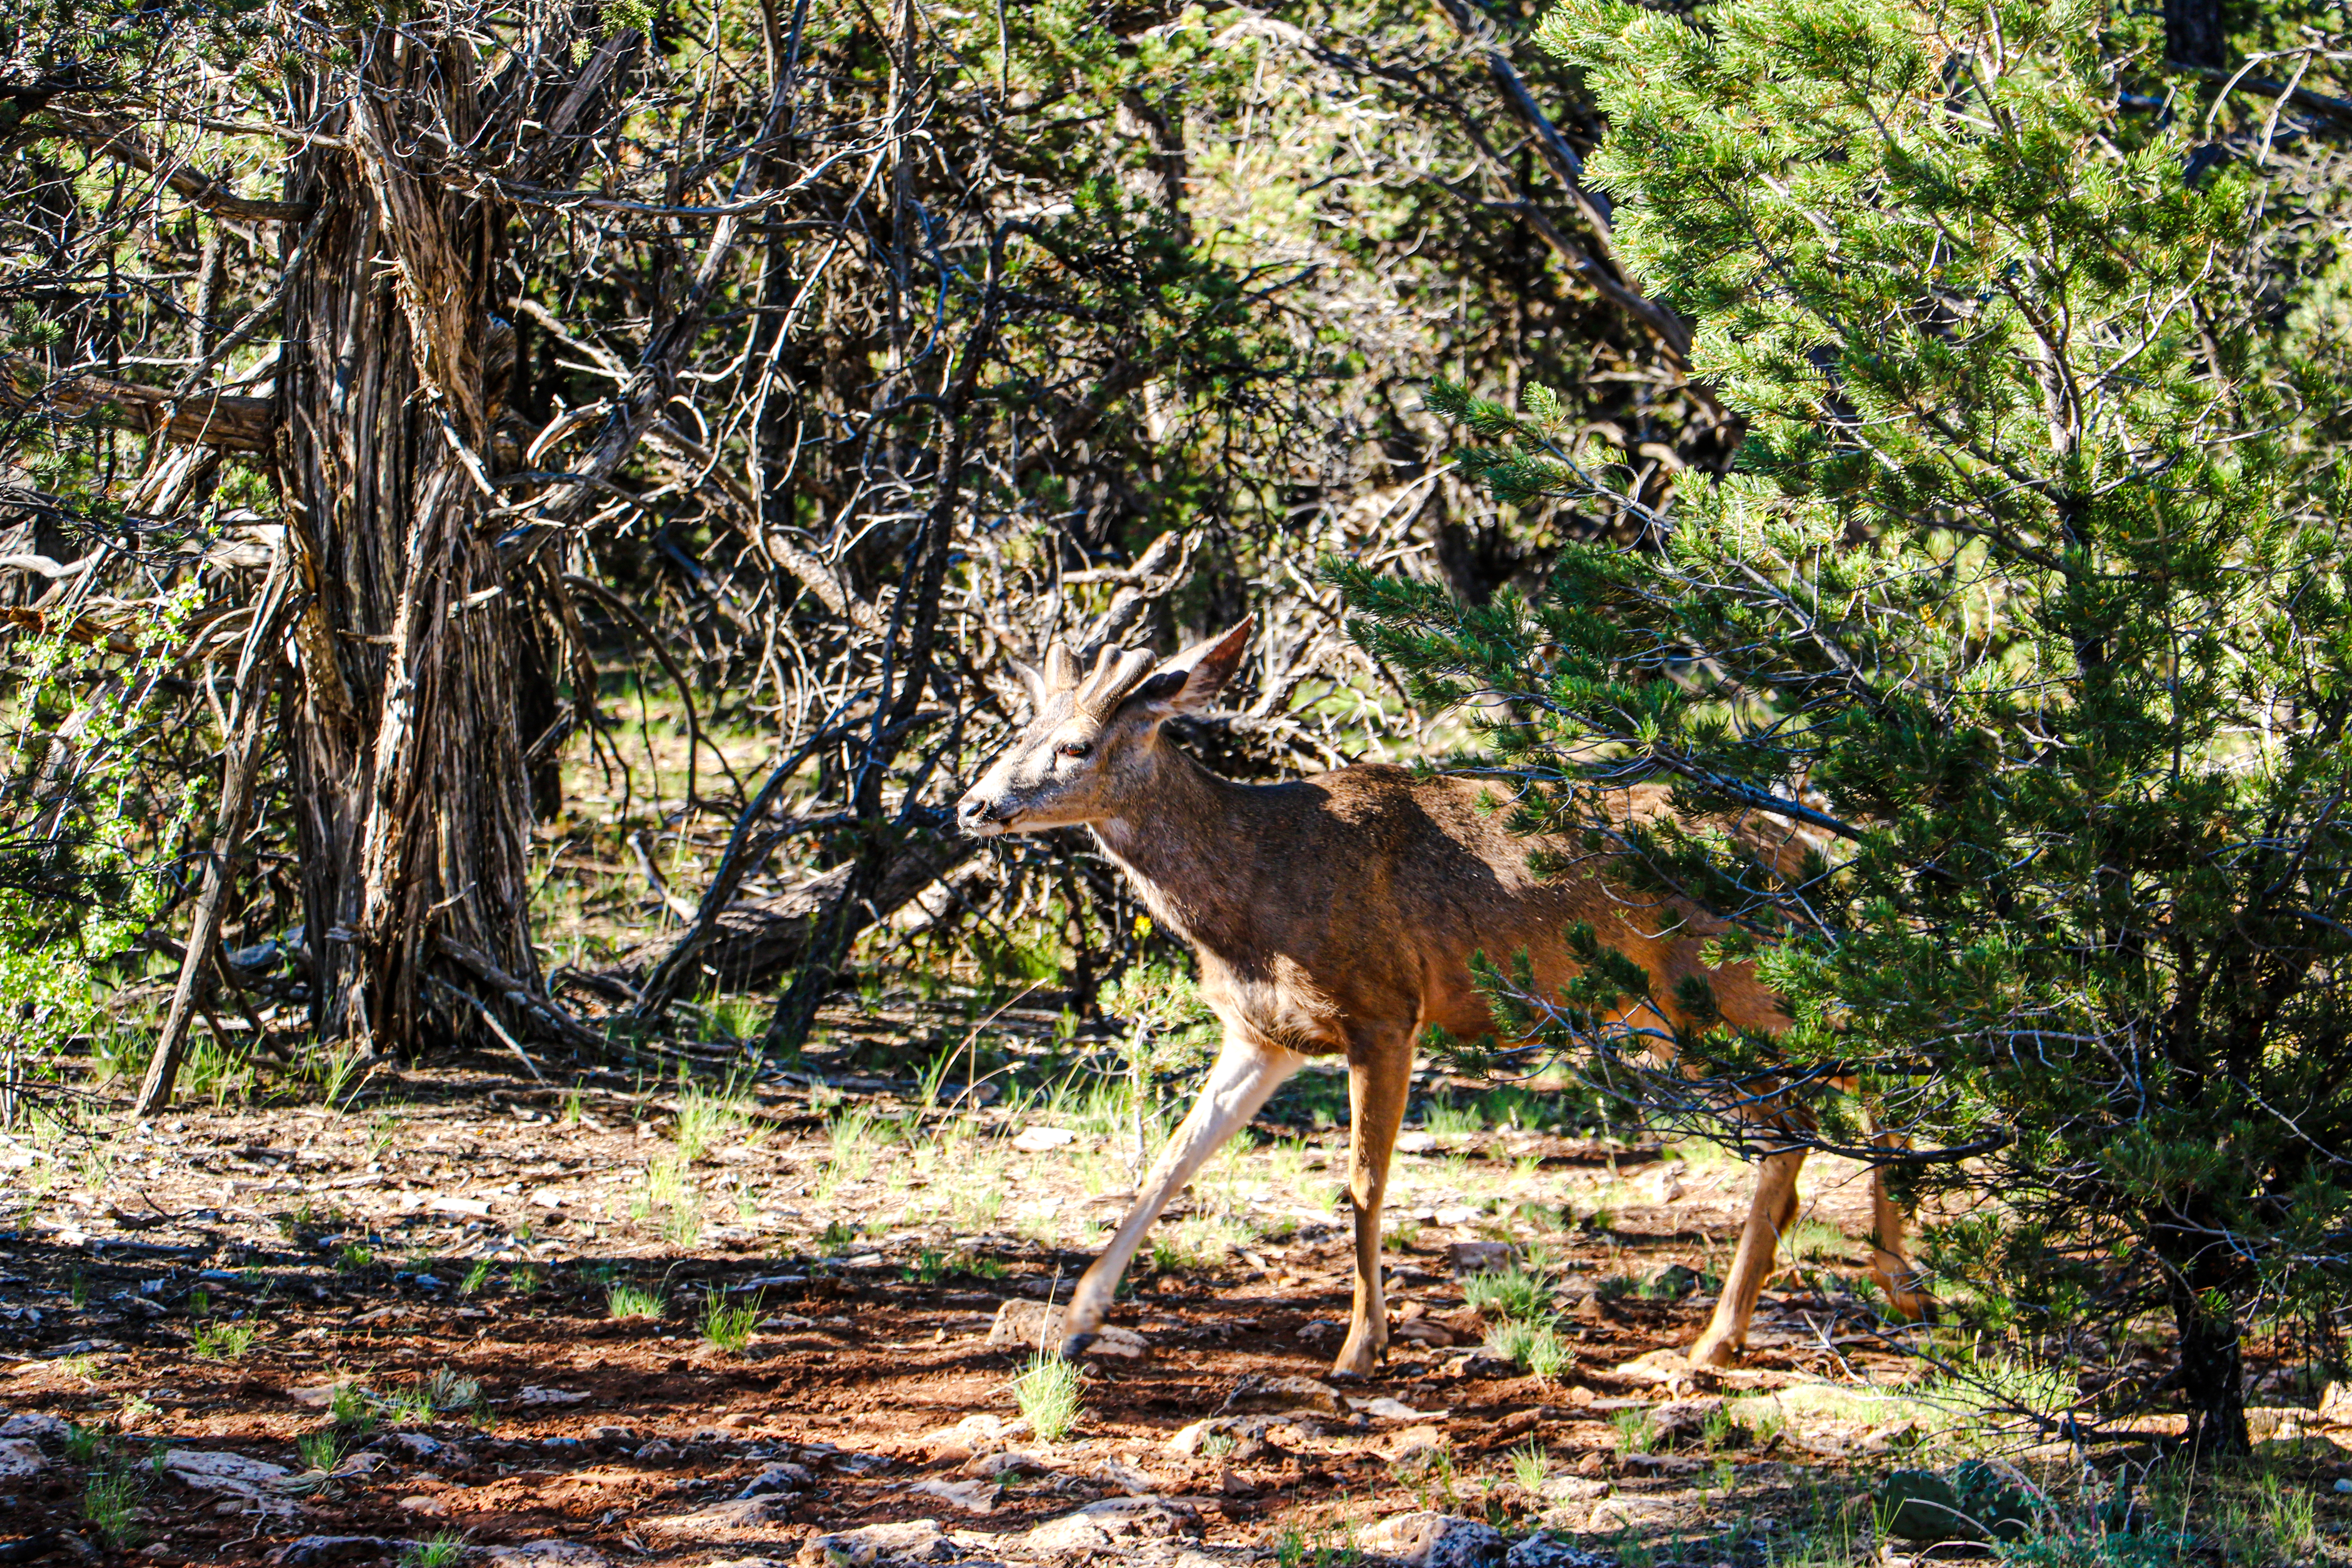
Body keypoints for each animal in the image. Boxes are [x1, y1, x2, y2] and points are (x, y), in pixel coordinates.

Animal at [954, 618, 1923, 1377]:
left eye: (1077, 745)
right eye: (1018, 729)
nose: (971, 805)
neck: (1250, 886)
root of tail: (1803, 849)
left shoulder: (1383, 1005)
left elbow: (1362, 1183)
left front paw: (1360, 1348)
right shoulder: (1263, 1035)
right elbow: (1172, 1161)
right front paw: (1075, 1320)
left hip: (1716, 987)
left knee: (1813, 1106)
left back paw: (1735, 1332)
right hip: (1686, 1008)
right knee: (1851, 1073)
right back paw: (1887, 1283)